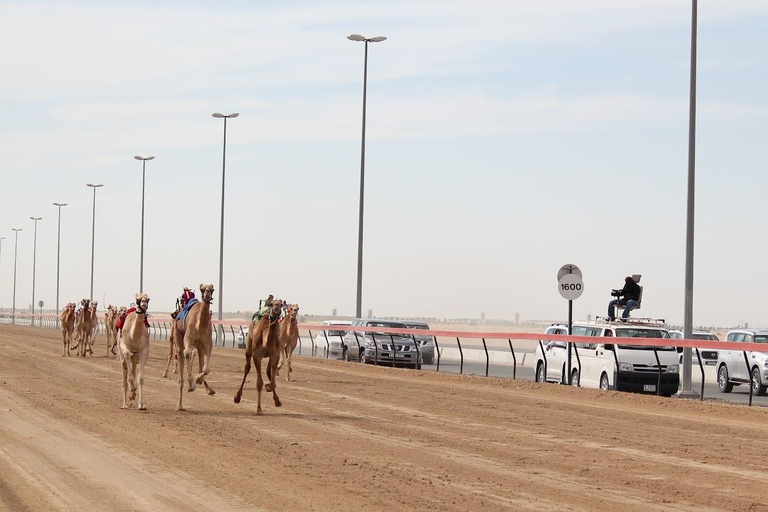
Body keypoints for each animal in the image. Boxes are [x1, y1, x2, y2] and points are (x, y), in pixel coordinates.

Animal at [170, 282, 213, 410]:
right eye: (202, 289)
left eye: (212, 289)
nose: (207, 293)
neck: (200, 325)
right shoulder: (188, 339)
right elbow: (187, 353)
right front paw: (192, 385)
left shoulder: (207, 343)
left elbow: (205, 369)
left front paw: (199, 380)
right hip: (178, 334)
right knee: (181, 356)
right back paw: (180, 405)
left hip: (198, 345)